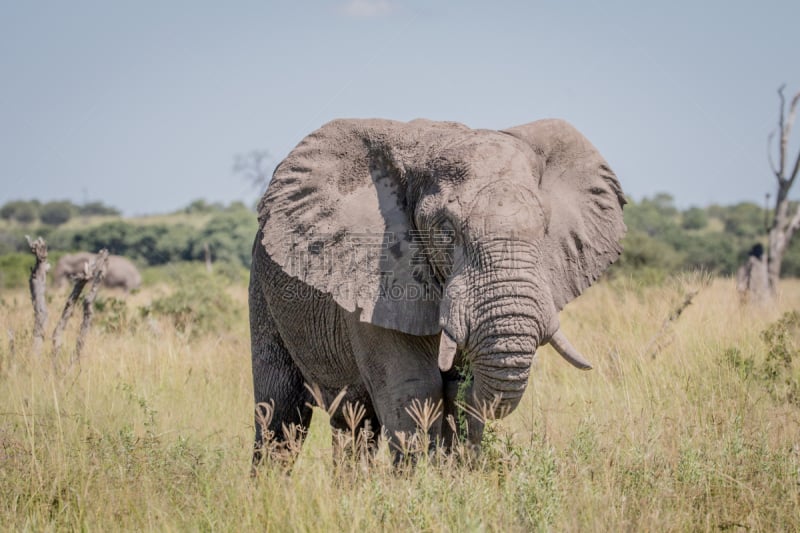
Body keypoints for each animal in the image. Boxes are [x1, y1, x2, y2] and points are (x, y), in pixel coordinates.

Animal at [248, 117, 624, 466]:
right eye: (446, 231)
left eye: (545, 229)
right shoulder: (377, 285)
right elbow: (415, 392)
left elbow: (459, 402)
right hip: (262, 287)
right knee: (279, 413)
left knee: (354, 422)